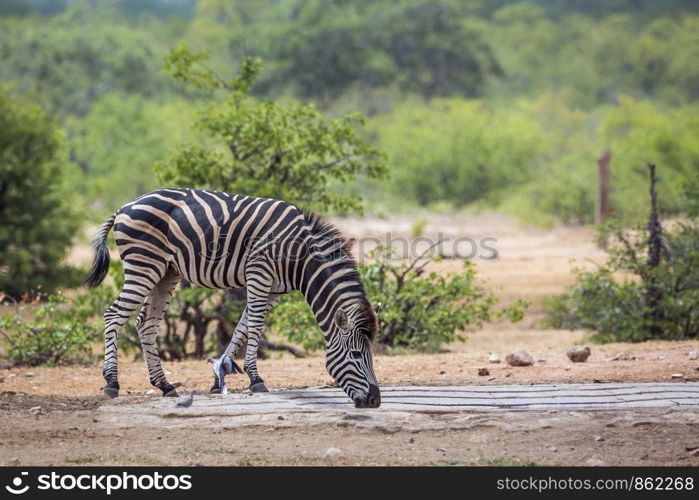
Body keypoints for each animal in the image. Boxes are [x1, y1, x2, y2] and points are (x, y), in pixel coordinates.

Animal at [86, 186, 382, 408]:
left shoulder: (273, 289)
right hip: (144, 264)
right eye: (356, 354)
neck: (299, 258)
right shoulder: (259, 274)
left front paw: (219, 379)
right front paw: (256, 379)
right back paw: (112, 382)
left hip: (166, 272)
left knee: (146, 324)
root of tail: (125, 206)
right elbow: (255, 327)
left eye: (370, 355)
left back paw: (165, 385)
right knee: (113, 315)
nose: (375, 401)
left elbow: (242, 329)